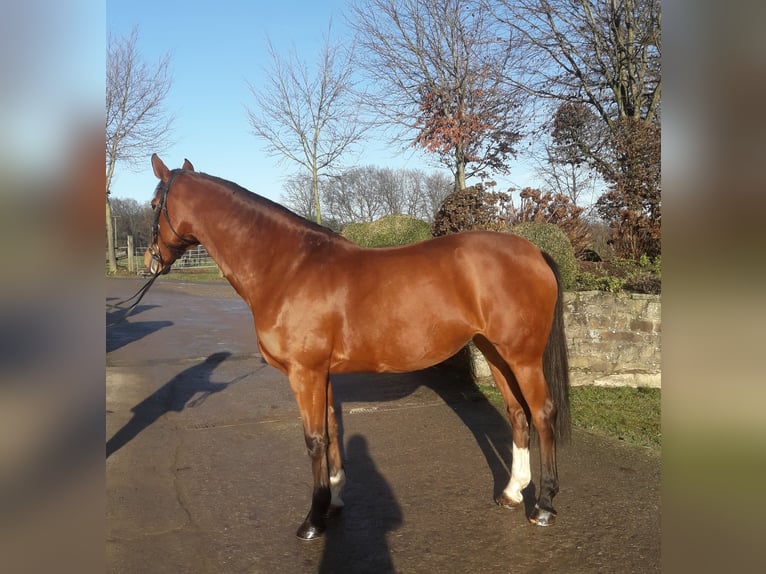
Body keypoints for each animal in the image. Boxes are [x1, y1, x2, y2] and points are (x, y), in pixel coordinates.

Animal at [146, 154, 568, 540]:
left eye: (153, 205)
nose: (151, 262)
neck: (289, 267)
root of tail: (534, 252)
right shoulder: (323, 375)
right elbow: (332, 432)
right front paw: (333, 500)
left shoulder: (305, 374)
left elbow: (315, 440)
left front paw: (313, 521)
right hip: (494, 353)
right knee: (517, 414)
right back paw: (512, 492)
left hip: (523, 358)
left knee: (542, 413)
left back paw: (544, 506)